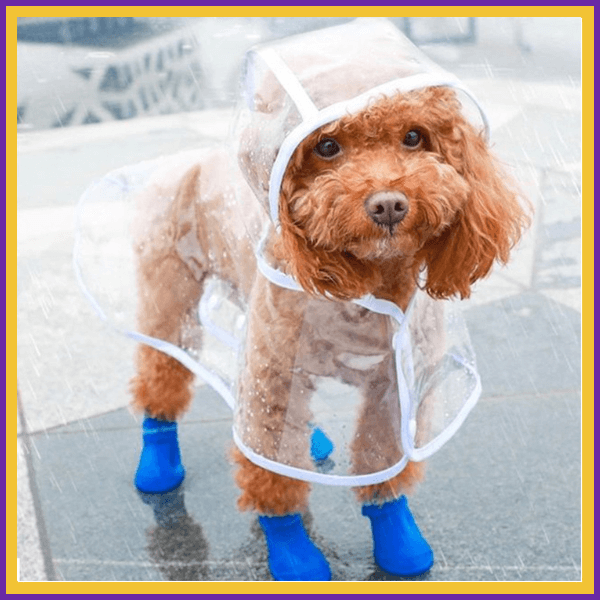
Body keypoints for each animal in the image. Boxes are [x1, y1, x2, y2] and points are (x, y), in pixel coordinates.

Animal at [123, 19, 528, 580]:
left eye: (414, 137)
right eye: (328, 146)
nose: (388, 204)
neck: (364, 283)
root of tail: (190, 158)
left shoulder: (393, 386)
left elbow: (382, 461)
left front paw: (397, 538)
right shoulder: (273, 374)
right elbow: (271, 470)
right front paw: (294, 552)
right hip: (173, 299)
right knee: (161, 374)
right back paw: (157, 467)